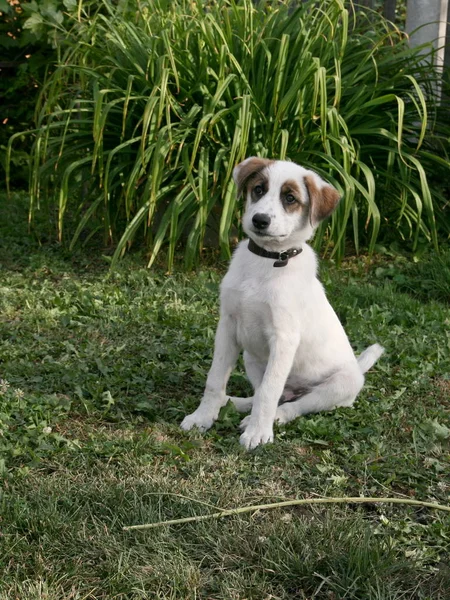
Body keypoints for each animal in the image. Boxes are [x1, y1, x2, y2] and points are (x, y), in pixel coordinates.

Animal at [181, 157, 384, 448]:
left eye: (290, 198)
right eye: (258, 189)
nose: (260, 220)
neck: (268, 259)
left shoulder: (284, 338)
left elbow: (269, 390)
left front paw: (258, 433)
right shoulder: (228, 326)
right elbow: (216, 378)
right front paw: (203, 417)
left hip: (340, 384)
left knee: (292, 404)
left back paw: (270, 417)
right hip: (252, 357)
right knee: (262, 394)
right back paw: (233, 404)